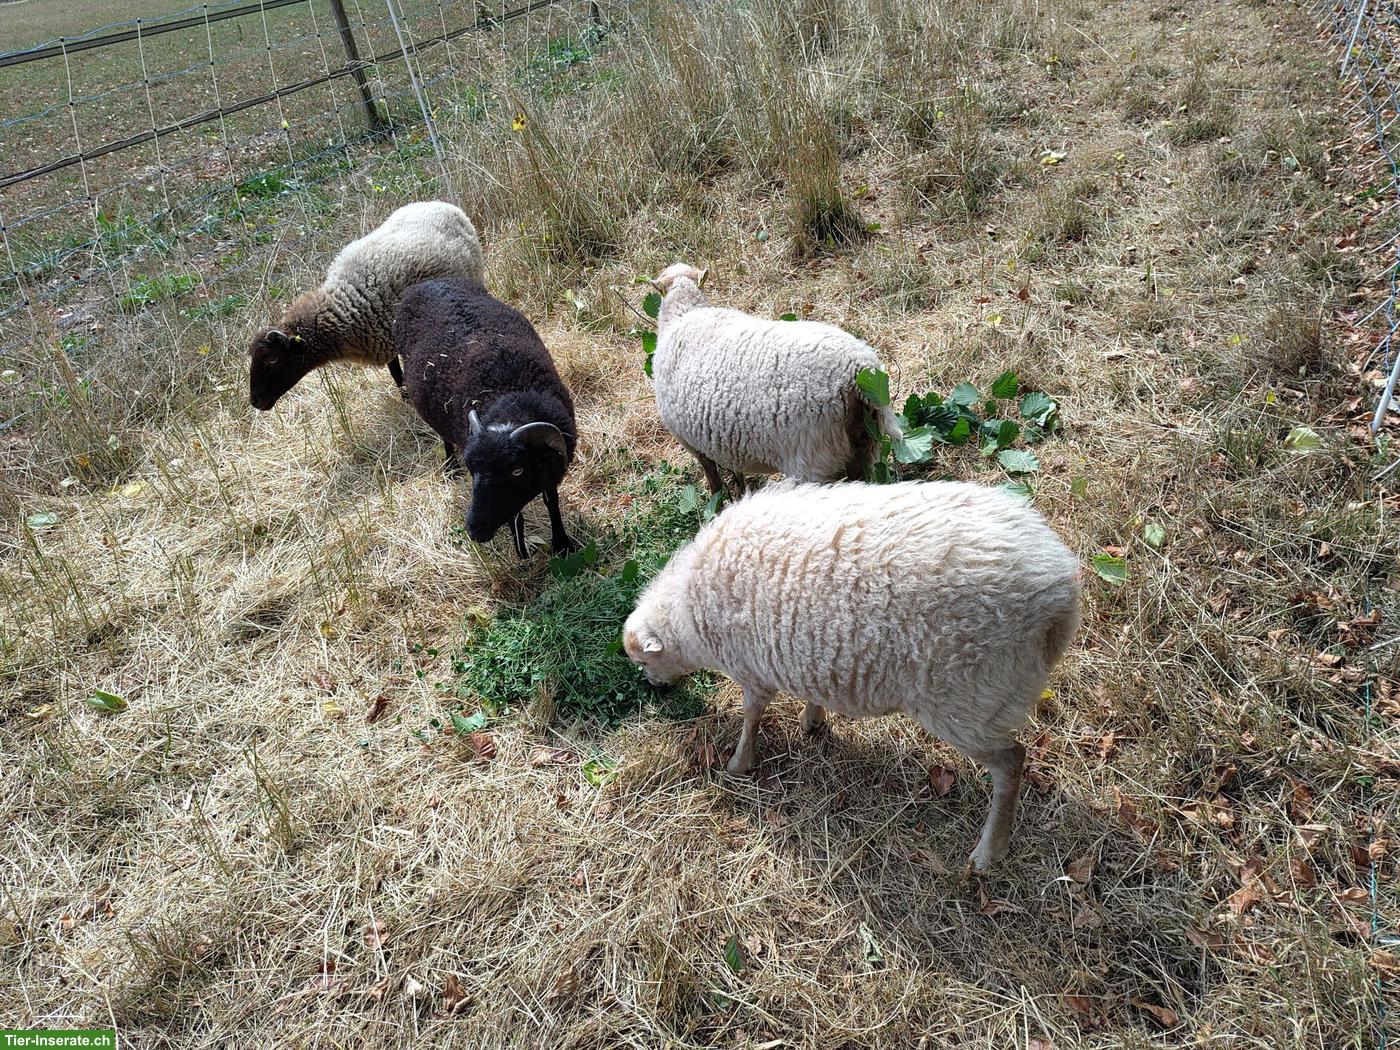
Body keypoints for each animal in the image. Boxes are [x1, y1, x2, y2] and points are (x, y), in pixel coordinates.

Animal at [248, 201, 484, 411]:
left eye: (272, 359)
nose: (255, 402)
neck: (347, 307)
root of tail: (436, 203)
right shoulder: (383, 337)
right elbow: (395, 371)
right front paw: (405, 397)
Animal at [394, 277, 579, 558]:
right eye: (473, 470)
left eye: (517, 470)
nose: (474, 529)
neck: (511, 398)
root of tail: (427, 282)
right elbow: (515, 517)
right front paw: (522, 553)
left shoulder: (550, 469)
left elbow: (551, 502)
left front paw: (562, 544)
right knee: (443, 436)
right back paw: (450, 466)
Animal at [622, 479, 1081, 871]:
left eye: (643, 662)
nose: (653, 687)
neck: (689, 611)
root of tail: (1060, 592)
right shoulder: (806, 654)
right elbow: (810, 689)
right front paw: (812, 720)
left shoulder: (750, 671)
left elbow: (751, 717)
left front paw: (738, 764)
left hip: (970, 702)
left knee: (1011, 762)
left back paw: (989, 851)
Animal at [648, 263, 902, 494]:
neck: (684, 312)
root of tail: (858, 369)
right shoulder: (722, 442)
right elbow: (737, 475)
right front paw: (740, 495)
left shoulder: (690, 442)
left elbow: (714, 481)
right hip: (865, 445)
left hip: (814, 457)